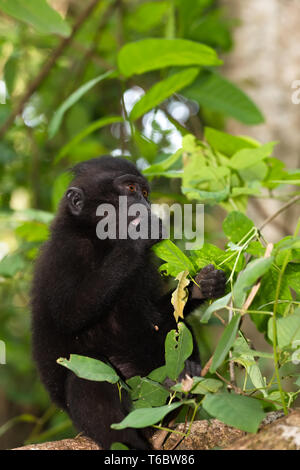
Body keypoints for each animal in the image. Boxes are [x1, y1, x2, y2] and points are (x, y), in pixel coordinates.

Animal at [32, 156, 225, 450]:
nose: (144, 204)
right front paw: (139, 234)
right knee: (87, 377)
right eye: (131, 189)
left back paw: (180, 377)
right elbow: (68, 315)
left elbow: (159, 316)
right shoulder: (65, 252)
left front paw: (202, 286)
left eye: (144, 193)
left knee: (178, 330)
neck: (101, 242)